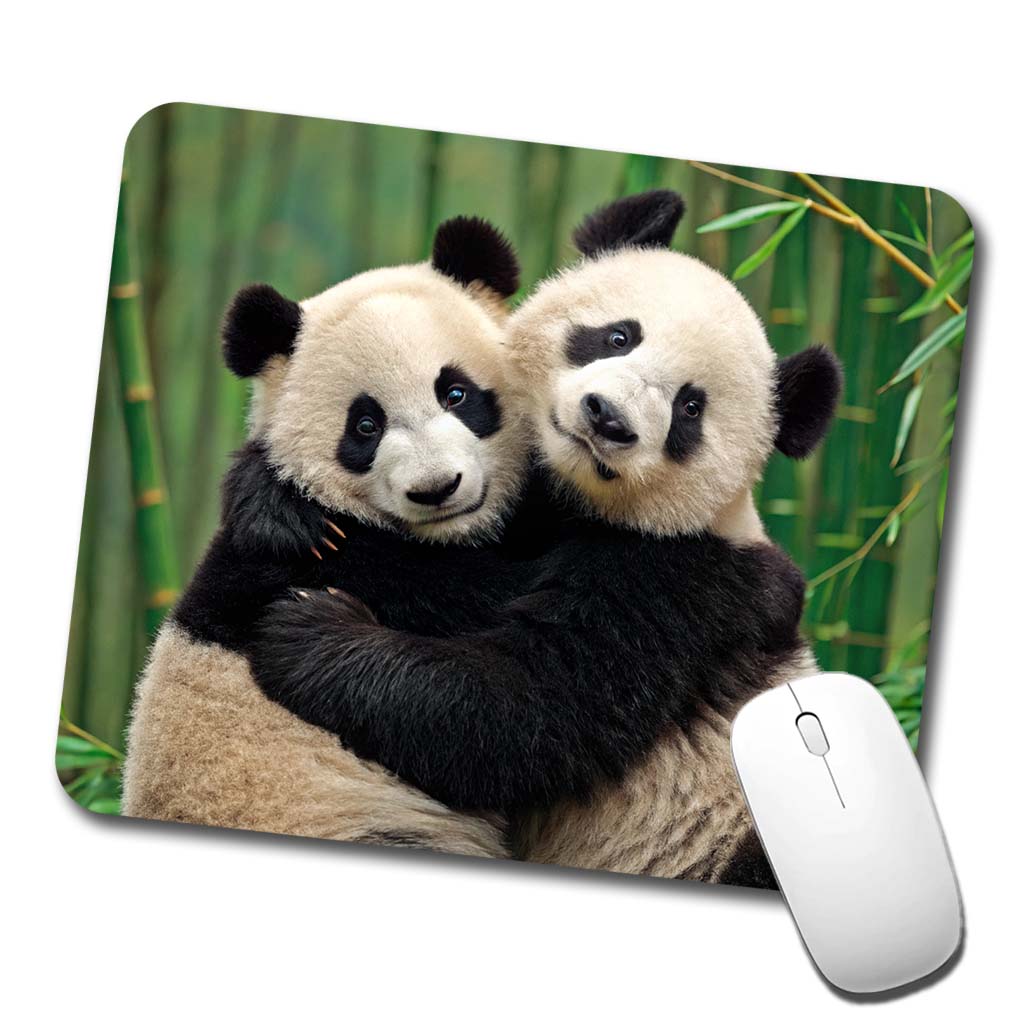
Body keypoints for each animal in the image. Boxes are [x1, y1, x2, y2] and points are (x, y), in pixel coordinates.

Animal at [247, 190, 837, 890]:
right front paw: (276, 507)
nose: (608, 418)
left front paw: (311, 629)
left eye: (690, 409)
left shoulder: (677, 586)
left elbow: (519, 712)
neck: (571, 501)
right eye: (618, 336)